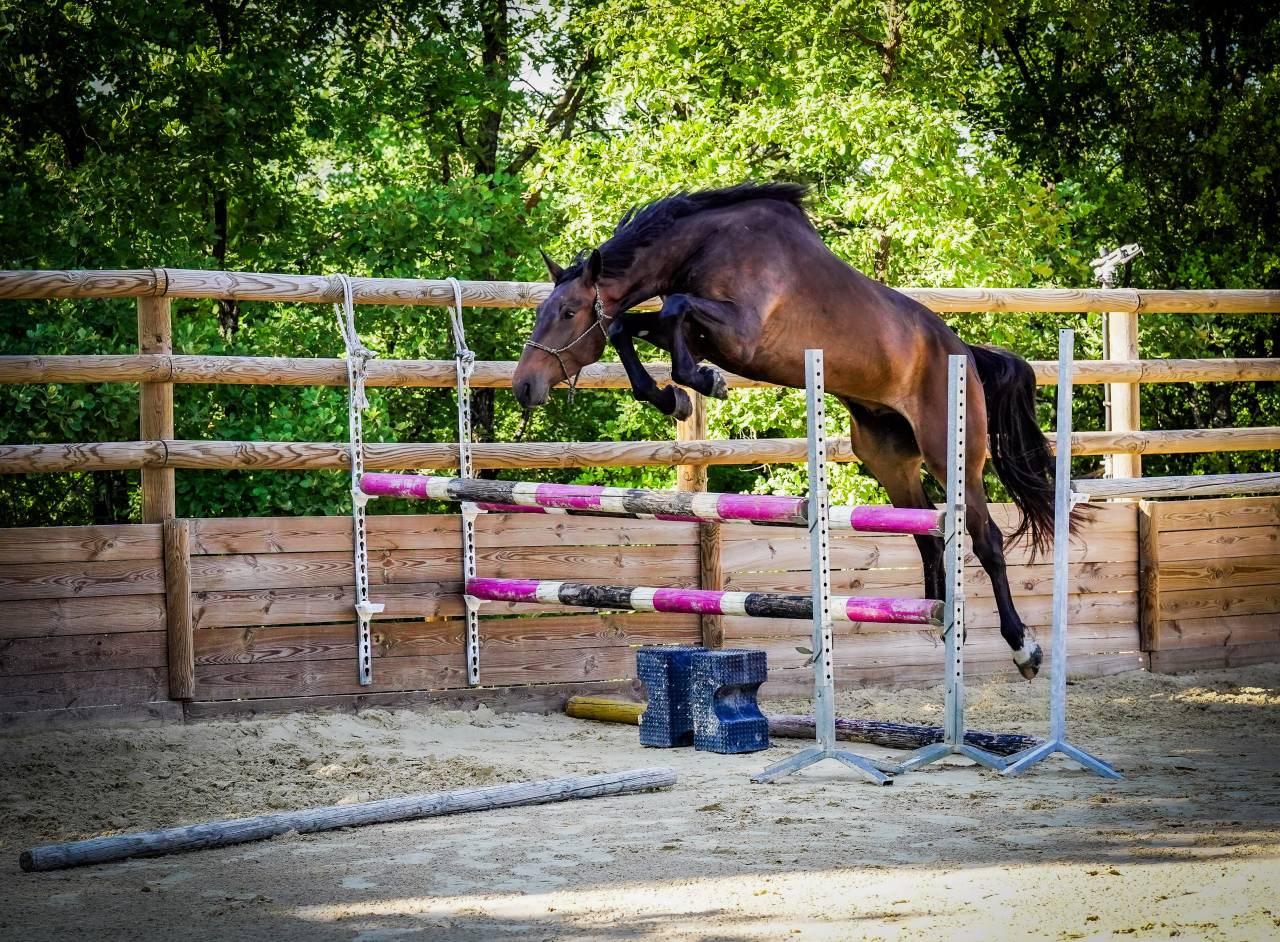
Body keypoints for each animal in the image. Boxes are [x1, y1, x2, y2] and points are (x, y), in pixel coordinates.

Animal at [512, 182, 1058, 680]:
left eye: (567, 312)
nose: (523, 387)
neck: (706, 245)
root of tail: (965, 351)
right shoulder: (703, 336)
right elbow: (628, 325)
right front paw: (673, 396)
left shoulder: (739, 334)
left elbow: (671, 310)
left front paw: (702, 383)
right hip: (889, 460)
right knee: (926, 534)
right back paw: (942, 622)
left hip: (952, 452)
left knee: (985, 537)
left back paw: (1024, 649)